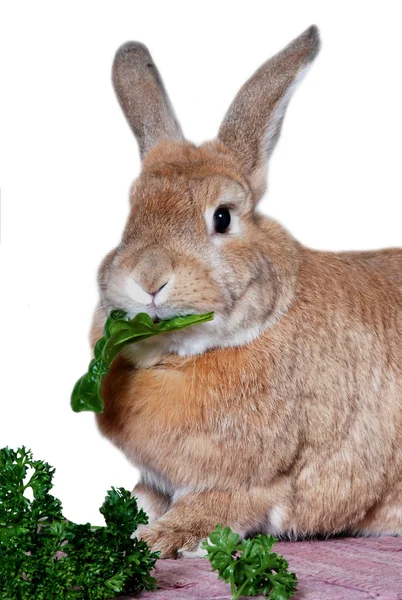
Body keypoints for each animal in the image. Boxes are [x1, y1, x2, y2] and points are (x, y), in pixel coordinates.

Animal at [91, 25, 402, 560]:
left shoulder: (253, 484)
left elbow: (209, 511)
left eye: (222, 217)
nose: (148, 277)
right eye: (132, 212)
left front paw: (157, 539)